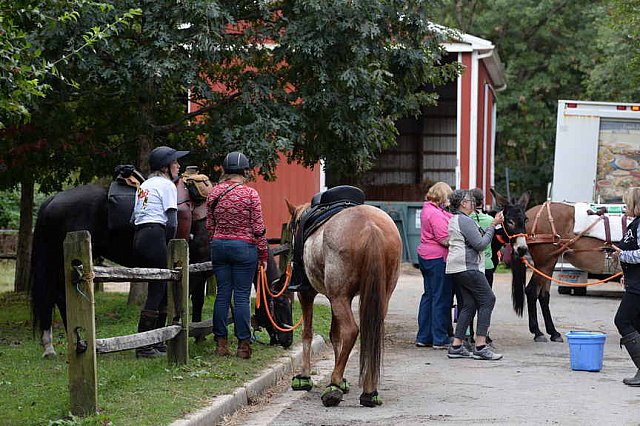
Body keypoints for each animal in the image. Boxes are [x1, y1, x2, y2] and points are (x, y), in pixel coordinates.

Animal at [284, 201, 400, 408]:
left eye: (291, 227)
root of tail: (370, 227)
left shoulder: (308, 294)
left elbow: (308, 332)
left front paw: (305, 377)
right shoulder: (337, 298)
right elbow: (335, 335)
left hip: (339, 296)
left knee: (351, 331)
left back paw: (334, 386)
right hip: (379, 295)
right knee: (371, 332)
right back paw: (369, 391)